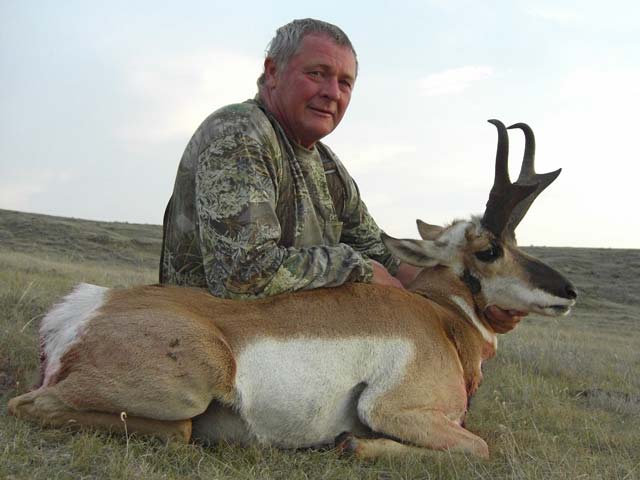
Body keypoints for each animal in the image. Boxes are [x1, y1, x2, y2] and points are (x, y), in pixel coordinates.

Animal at [6, 119, 576, 458]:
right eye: (489, 250)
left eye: (515, 241)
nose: (568, 293)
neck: (438, 317)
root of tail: (82, 311)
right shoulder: (394, 410)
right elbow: (480, 448)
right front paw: (353, 446)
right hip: (189, 387)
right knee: (31, 407)